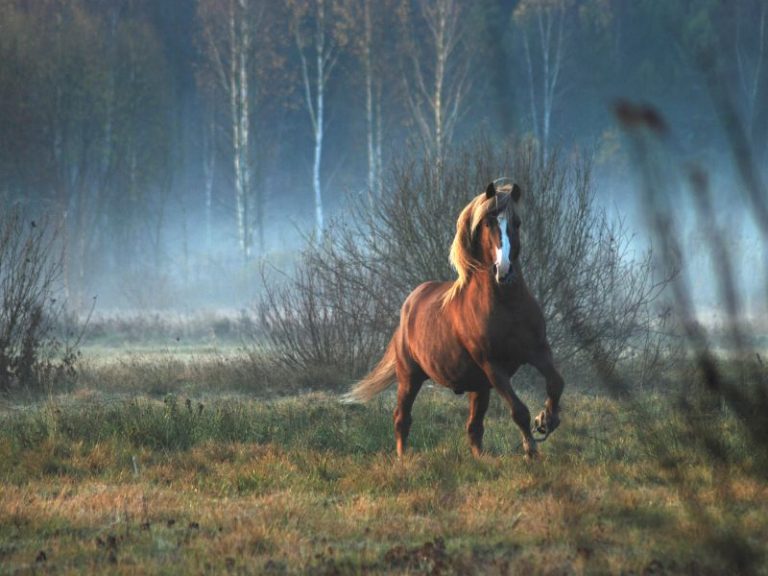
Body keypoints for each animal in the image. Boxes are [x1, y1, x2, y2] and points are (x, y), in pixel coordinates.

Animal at [346, 181, 564, 458]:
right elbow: (519, 411)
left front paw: (547, 420)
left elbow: (556, 383)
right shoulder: (493, 366)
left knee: (474, 427)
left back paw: (481, 459)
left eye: (517, 223)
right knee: (402, 419)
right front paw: (531, 450)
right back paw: (403, 459)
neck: (507, 306)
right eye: (488, 223)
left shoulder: (537, 351)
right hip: (410, 376)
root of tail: (410, 304)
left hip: (478, 386)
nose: (504, 271)